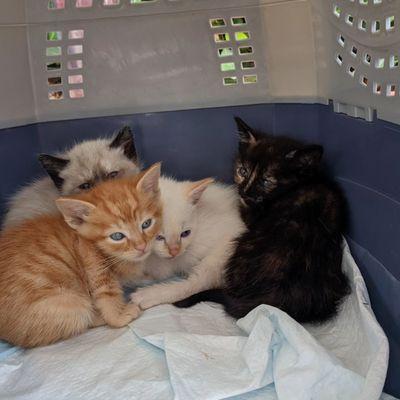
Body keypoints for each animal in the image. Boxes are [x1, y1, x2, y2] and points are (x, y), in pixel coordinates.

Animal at [0, 162, 162, 346]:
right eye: (117, 236)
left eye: (146, 224)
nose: (142, 246)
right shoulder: (91, 257)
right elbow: (106, 292)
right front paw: (118, 317)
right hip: (70, 303)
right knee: (79, 316)